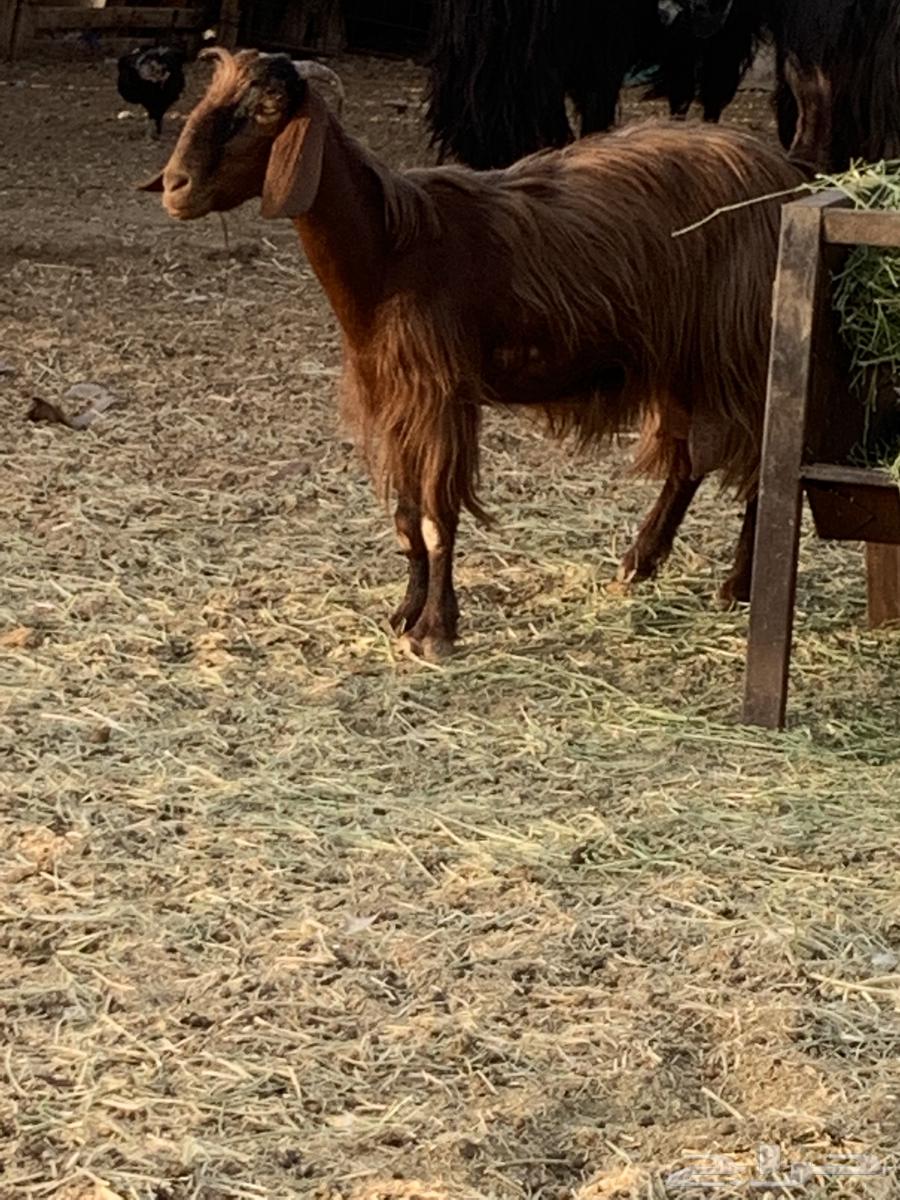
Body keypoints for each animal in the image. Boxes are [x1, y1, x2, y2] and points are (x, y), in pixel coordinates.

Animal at [140, 49, 803, 660]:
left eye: (267, 109)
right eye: (209, 98)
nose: (175, 187)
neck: (391, 253)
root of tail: (781, 174)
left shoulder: (441, 394)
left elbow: (437, 520)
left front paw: (436, 630)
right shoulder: (394, 397)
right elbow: (407, 519)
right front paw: (404, 614)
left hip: (739, 348)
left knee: (756, 460)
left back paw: (738, 585)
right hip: (680, 355)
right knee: (688, 459)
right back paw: (640, 562)